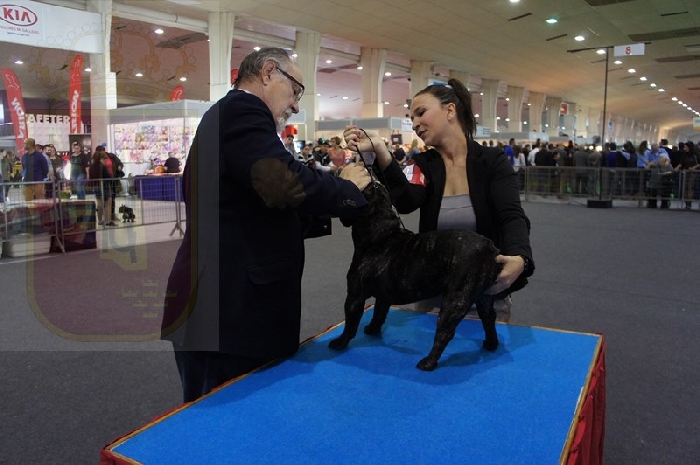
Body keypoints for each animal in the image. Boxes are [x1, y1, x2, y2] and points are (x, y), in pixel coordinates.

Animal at [328, 182, 503, 371]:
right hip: (484, 296)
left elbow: (350, 324)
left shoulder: (355, 297)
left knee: (444, 333)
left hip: (456, 300)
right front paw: (373, 328)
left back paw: (428, 362)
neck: (380, 233)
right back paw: (491, 344)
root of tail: (489, 247)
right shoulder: (383, 297)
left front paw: (340, 342)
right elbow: (379, 313)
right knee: (488, 318)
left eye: (363, 191)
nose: (374, 182)